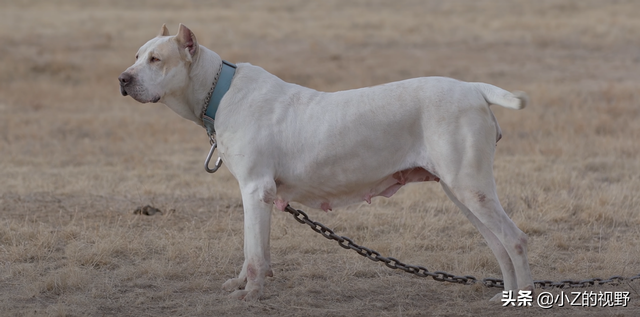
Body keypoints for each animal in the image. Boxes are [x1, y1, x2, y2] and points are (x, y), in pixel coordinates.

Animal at [119, 24, 536, 298]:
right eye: (136, 56)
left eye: (156, 59)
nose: (123, 79)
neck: (217, 91)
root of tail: (473, 88)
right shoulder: (262, 196)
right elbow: (258, 249)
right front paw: (247, 284)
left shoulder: (254, 189)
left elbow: (252, 251)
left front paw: (249, 293)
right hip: (462, 192)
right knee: (499, 245)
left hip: (470, 188)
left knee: (514, 240)